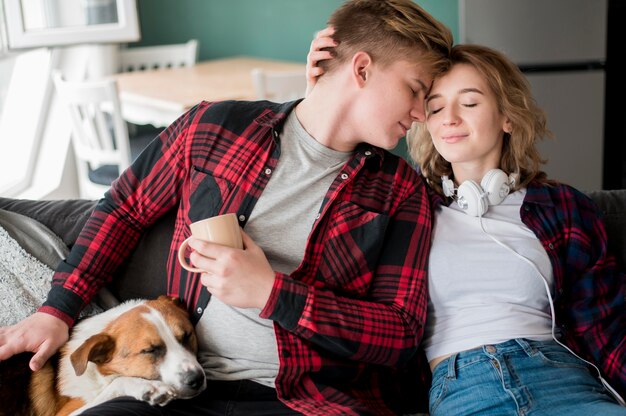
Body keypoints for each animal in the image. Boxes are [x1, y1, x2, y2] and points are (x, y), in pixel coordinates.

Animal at [0, 296, 205, 416]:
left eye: (187, 335)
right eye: (150, 350)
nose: (197, 379)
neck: (97, 372)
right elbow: (118, 383)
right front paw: (148, 387)